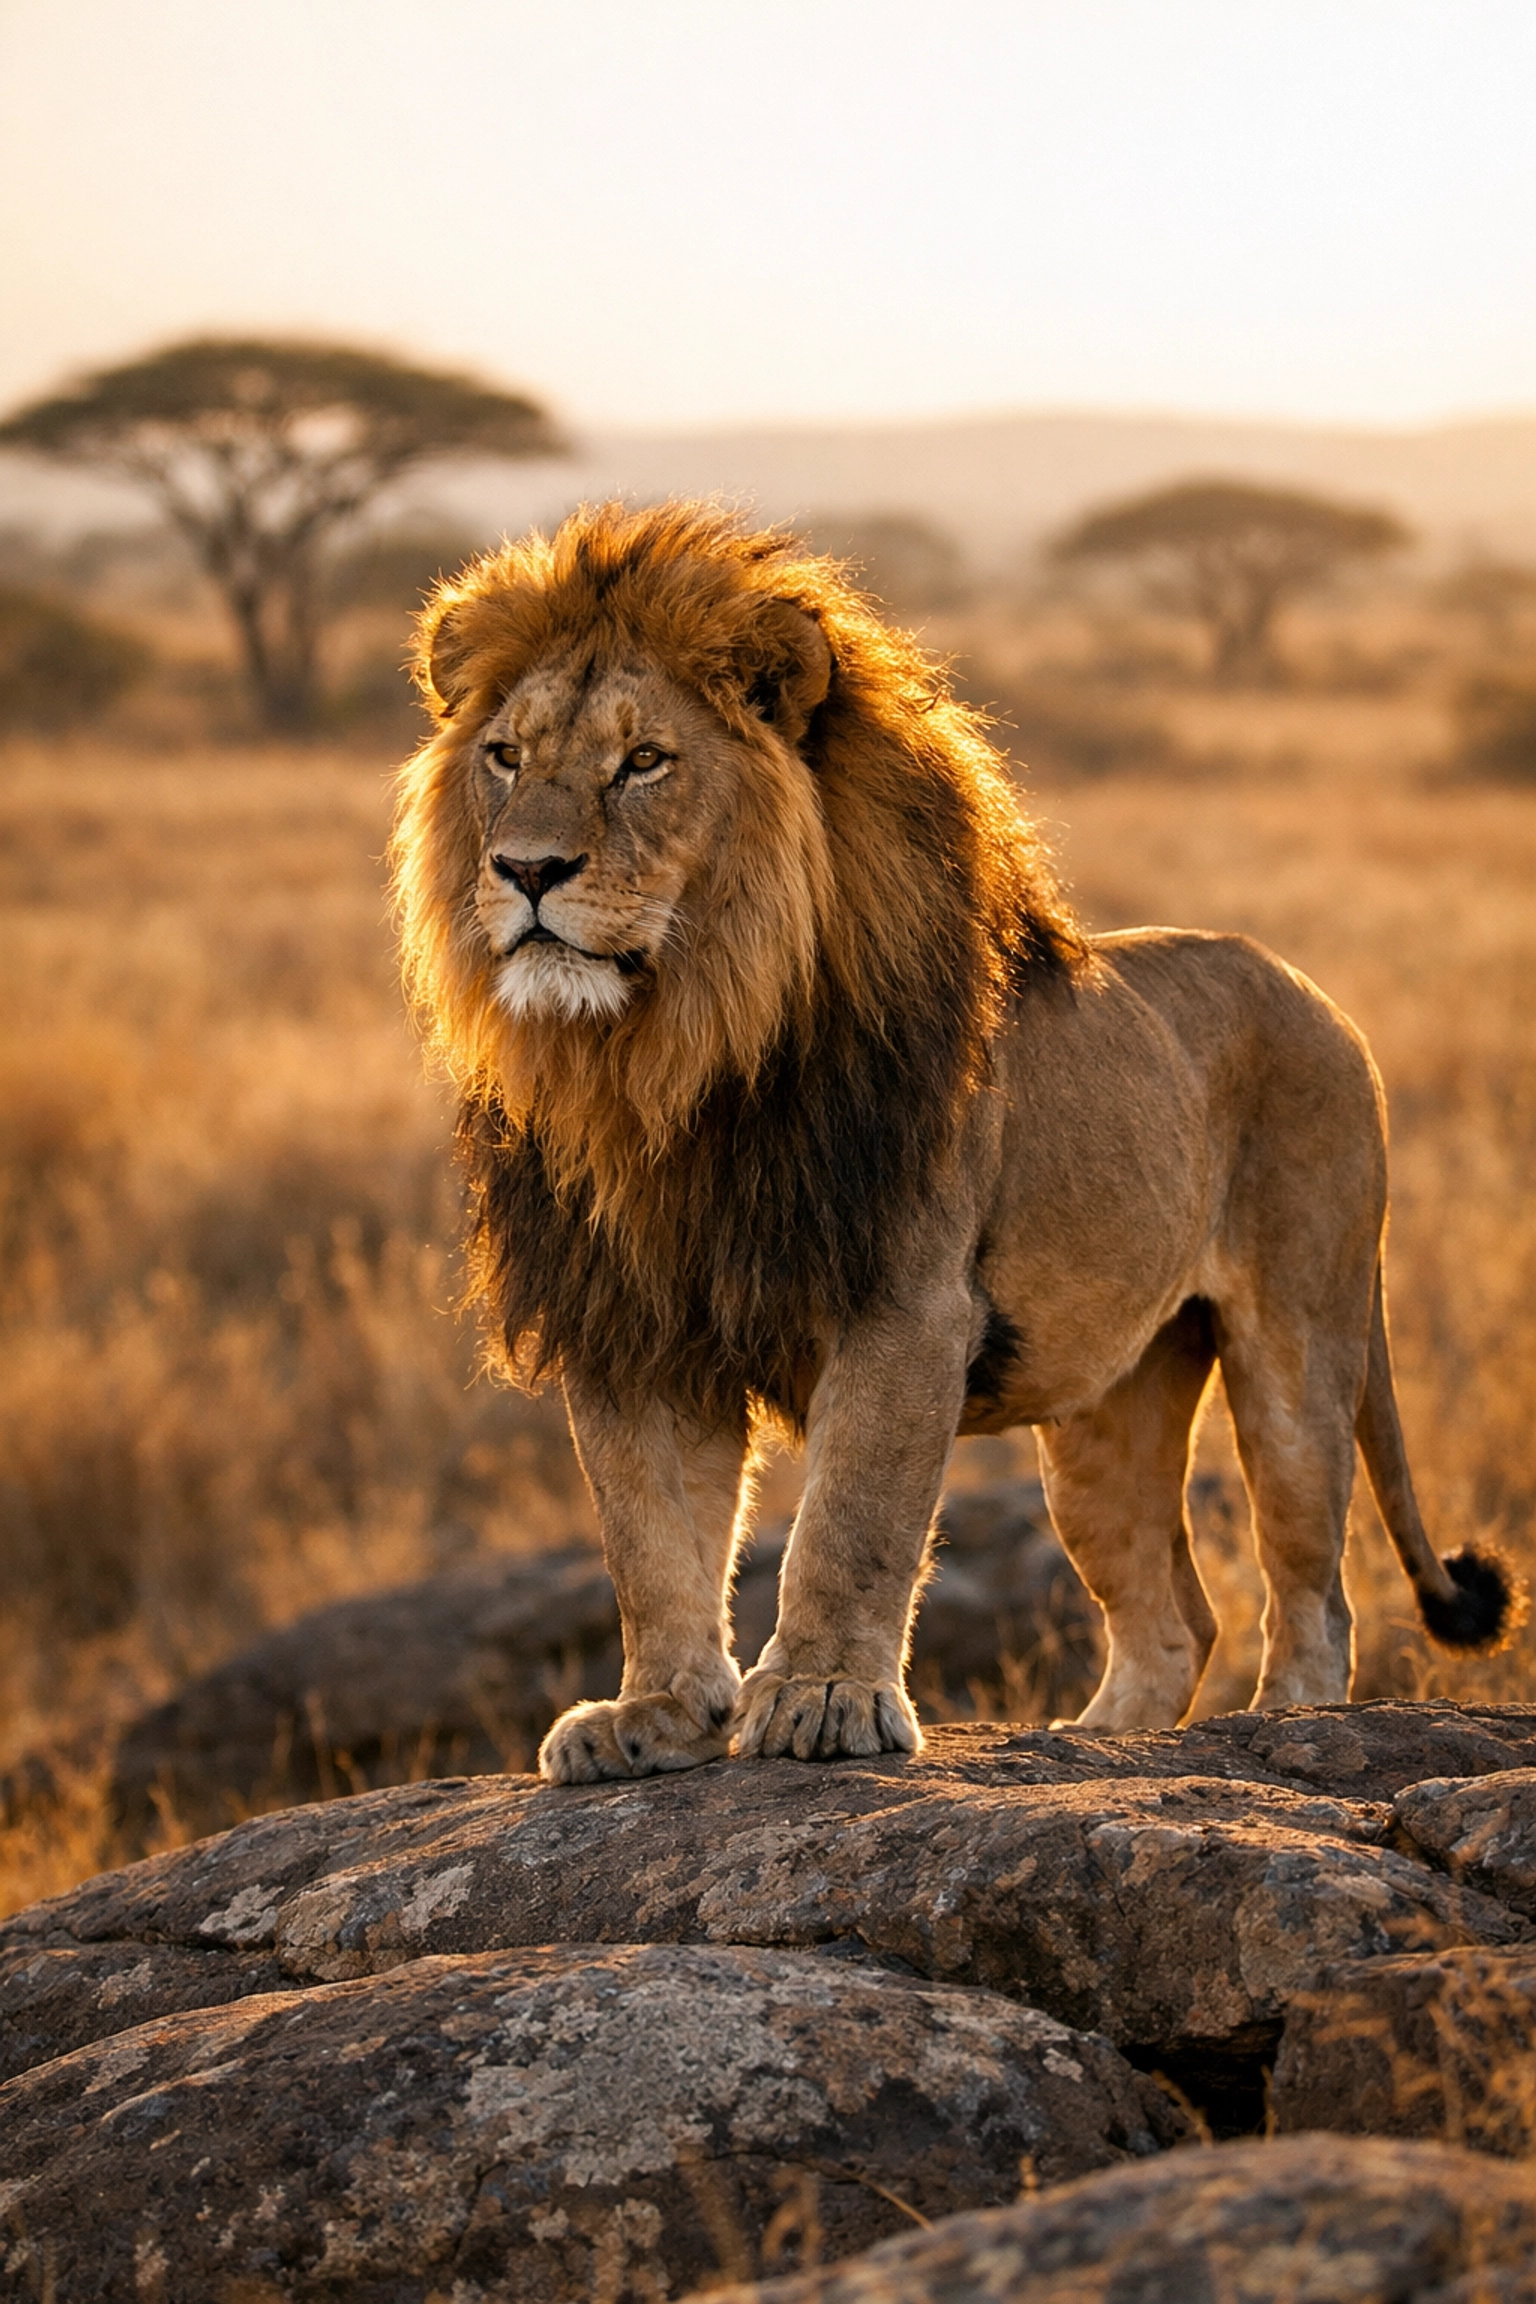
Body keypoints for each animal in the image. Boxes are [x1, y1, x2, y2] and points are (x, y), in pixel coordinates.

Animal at [391, 499, 1519, 1783]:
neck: (667, 1057)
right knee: (1172, 1617)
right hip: (1108, 1408)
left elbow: (852, 1518)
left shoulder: (904, 1299)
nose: (526, 869)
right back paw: (1092, 1747)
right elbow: (647, 1535)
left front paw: (823, 1699)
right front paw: (657, 1713)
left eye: (643, 763)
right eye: (506, 757)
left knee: (1312, 1588)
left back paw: (1284, 1730)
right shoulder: (629, 1318)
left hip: (1299, 1335)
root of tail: (1313, 990)